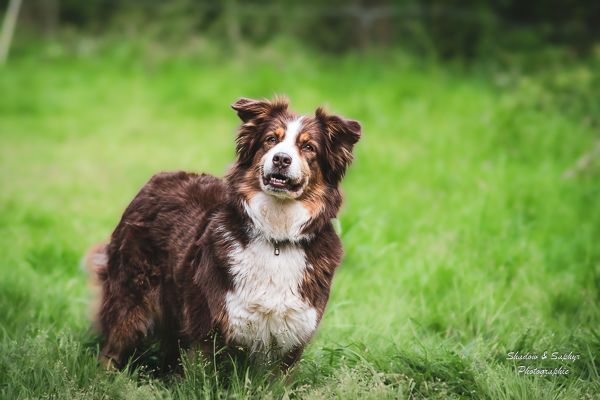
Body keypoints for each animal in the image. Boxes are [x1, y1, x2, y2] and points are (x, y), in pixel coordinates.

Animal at [84, 97, 360, 372]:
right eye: (271, 139)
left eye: (308, 147)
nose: (281, 159)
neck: (276, 238)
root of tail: (158, 177)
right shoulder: (209, 328)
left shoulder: (292, 337)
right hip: (132, 293)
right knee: (114, 343)